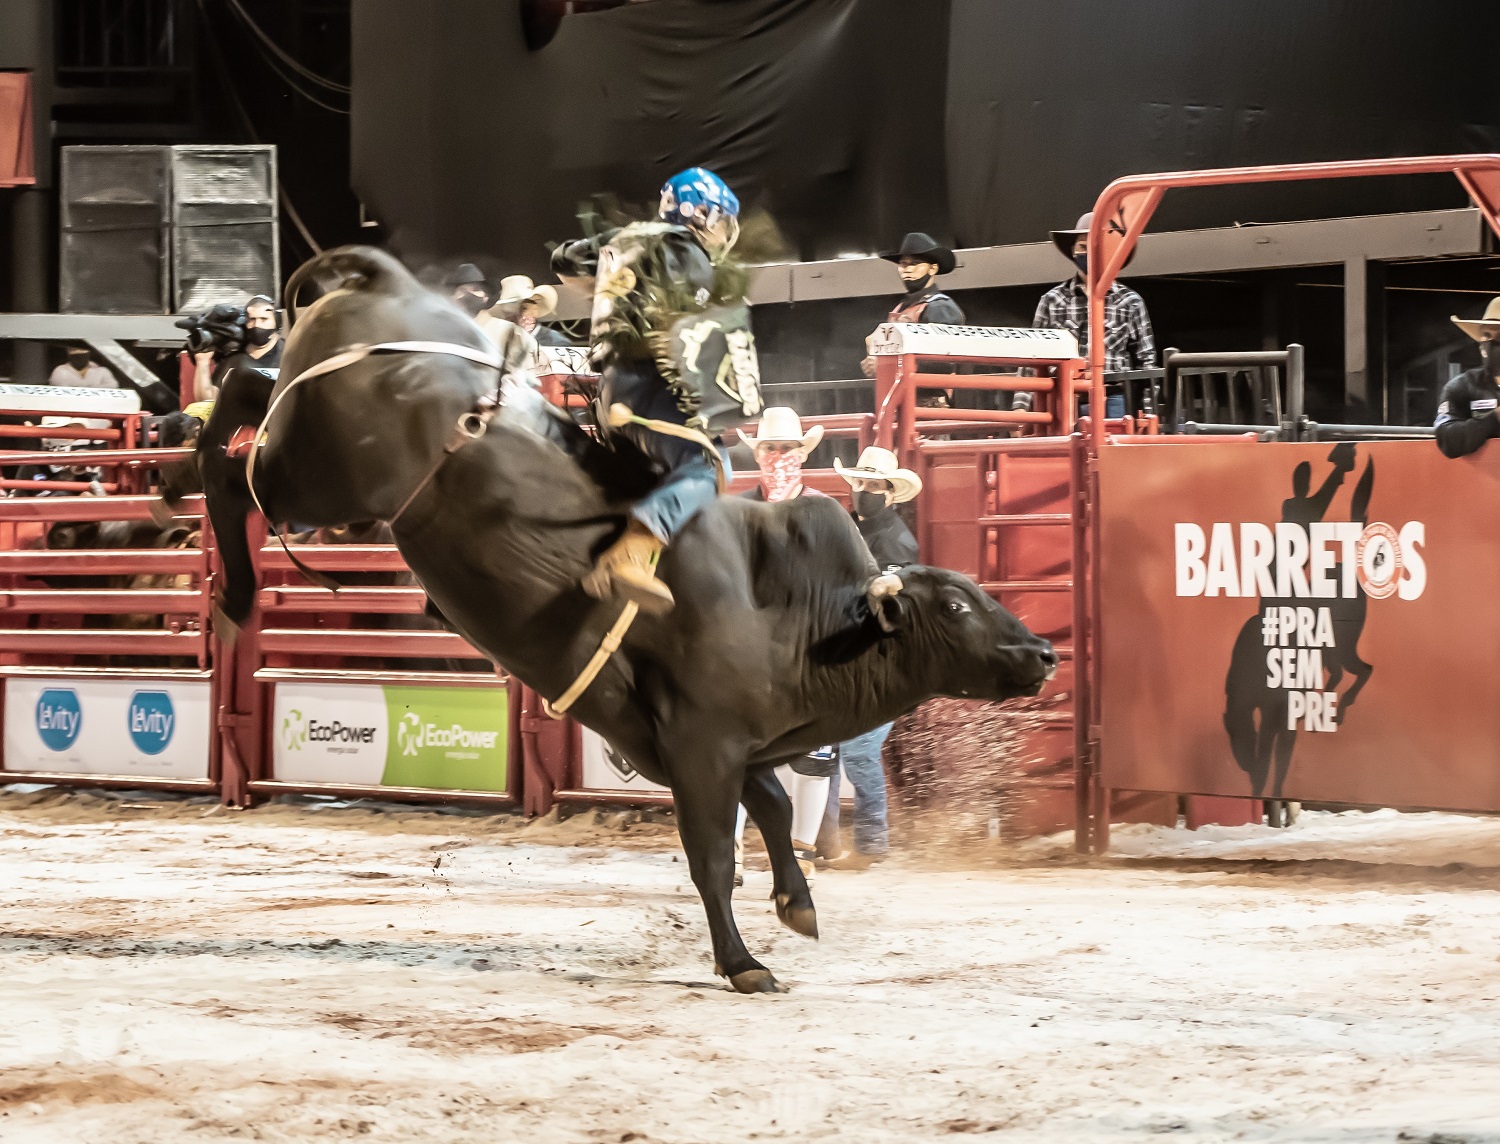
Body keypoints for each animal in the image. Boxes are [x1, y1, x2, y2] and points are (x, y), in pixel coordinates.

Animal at [178, 248, 1056, 995]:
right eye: (955, 606)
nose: (1042, 651)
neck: (798, 618)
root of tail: (387, 280)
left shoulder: (722, 743)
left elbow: (772, 808)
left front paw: (797, 905)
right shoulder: (702, 743)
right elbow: (713, 854)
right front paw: (743, 963)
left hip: (312, 452)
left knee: (248, 391)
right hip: (318, 472)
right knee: (237, 449)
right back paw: (235, 591)